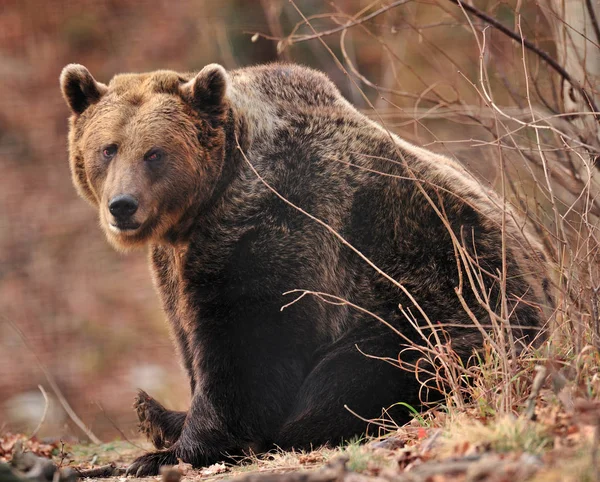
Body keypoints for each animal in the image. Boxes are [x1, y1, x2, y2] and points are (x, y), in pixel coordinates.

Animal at [59, 62, 552, 476]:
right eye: (108, 149)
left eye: (155, 153)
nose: (122, 206)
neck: (205, 206)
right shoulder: (177, 261)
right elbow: (189, 336)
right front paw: (166, 423)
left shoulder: (276, 227)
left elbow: (247, 351)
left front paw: (173, 451)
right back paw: (154, 411)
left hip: (450, 311)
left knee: (357, 376)